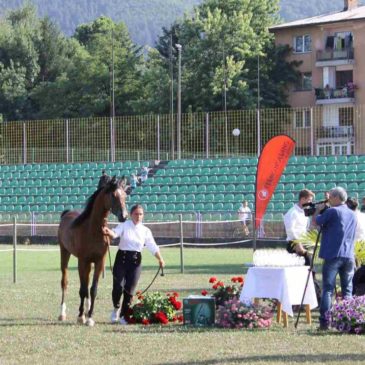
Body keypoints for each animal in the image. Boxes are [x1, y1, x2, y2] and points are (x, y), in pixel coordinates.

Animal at [57, 175, 127, 326]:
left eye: (125, 195)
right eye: (113, 195)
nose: (124, 216)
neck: (93, 229)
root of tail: (66, 213)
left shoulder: (99, 262)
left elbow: (93, 289)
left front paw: (89, 317)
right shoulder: (82, 261)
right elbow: (82, 290)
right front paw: (80, 316)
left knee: (87, 285)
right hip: (65, 253)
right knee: (64, 282)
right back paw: (62, 313)